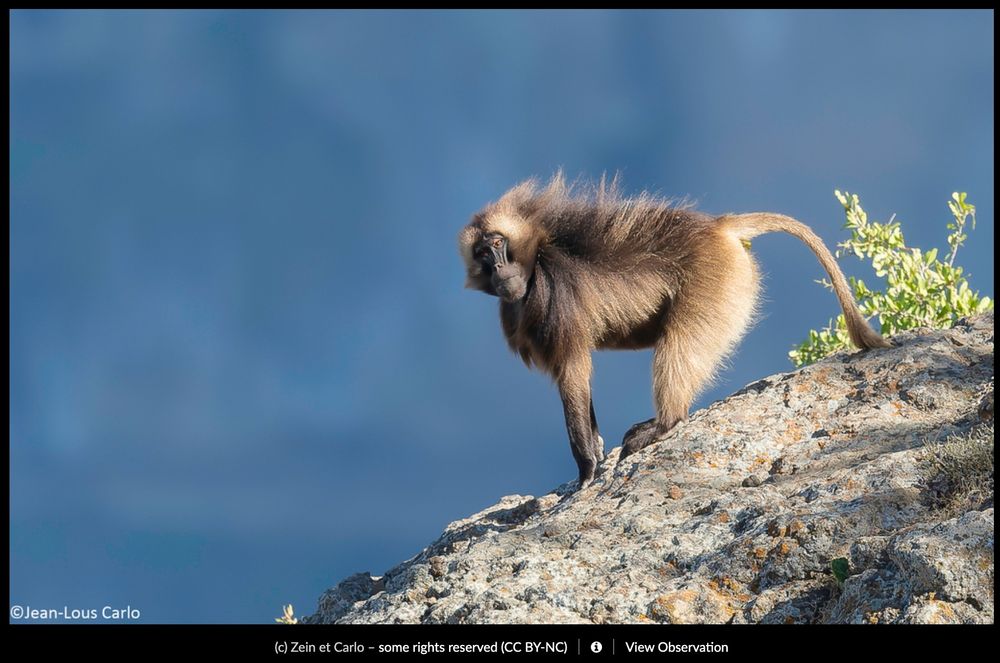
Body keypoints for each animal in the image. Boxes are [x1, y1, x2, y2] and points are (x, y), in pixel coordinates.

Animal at [458, 173, 889, 489]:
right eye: (482, 254)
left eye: (498, 244)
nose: (499, 272)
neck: (535, 260)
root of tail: (718, 227)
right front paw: (597, 451)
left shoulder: (556, 300)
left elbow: (574, 374)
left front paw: (586, 470)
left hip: (713, 284)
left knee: (680, 347)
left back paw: (661, 425)